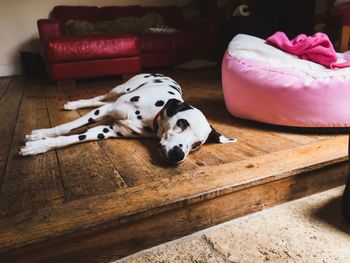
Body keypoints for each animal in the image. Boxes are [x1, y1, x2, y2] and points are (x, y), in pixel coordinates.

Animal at [19, 73, 238, 164]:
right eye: (182, 123)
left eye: (196, 145)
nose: (178, 154)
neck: (150, 116)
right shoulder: (107, 111)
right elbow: (67, 127)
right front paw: (40, 135)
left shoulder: (105, 130)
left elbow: (71, 138)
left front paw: (39, 146)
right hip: (120, 89)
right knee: (100, 98)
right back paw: (75, 104)